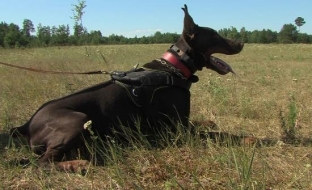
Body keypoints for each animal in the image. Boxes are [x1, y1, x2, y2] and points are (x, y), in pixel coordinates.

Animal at [9, 4, 244, 172]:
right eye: (215, 35)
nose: (241, 43)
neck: (174, 68)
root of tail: (26, 125)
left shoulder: (183, 124)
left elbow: (204, 124)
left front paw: (209, 120)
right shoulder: (177, 130)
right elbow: (221, 135)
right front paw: (247, 139)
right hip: (76, 119)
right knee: (41, 163)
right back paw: (76, 165)